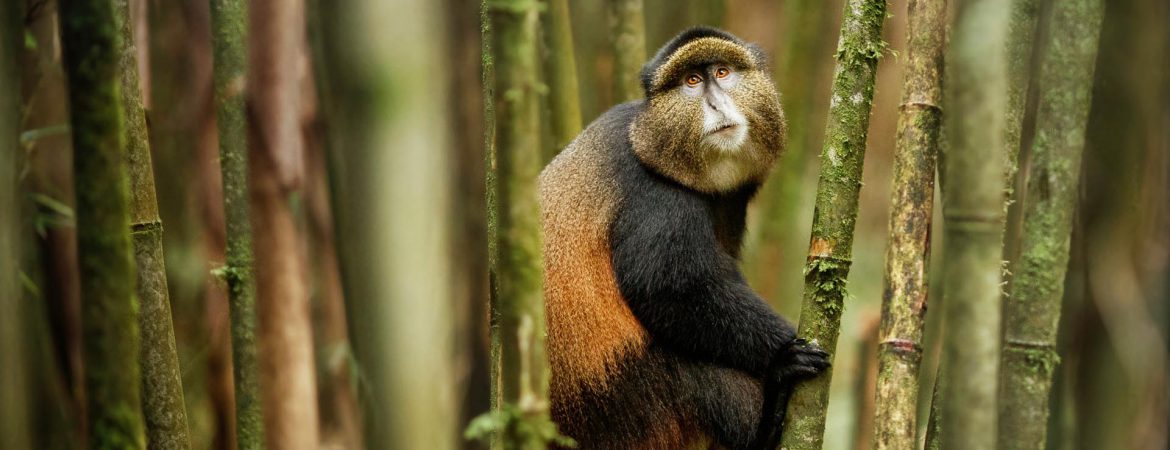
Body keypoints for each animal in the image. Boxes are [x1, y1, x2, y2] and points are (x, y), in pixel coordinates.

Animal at [538, 27, 830, 450]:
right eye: (691, 81)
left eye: (722, 72)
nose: (715, 103)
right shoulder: (657, 197)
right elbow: (668, 290)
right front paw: (783, 354)